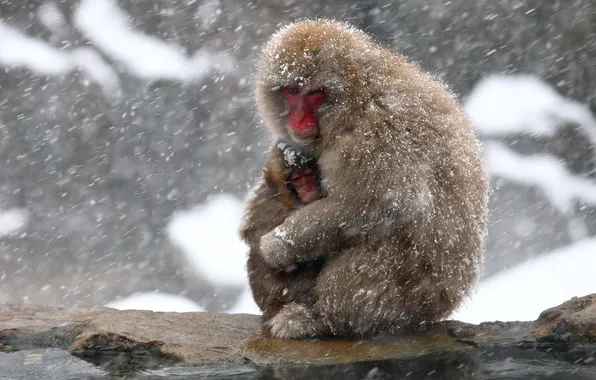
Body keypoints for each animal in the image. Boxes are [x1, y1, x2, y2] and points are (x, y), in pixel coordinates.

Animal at [249, 20, 486, 338]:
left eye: (314, 93)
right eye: (291, 90)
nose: (298, 120)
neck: (357, 100)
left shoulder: (380, 133)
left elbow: (387, 202)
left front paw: (278, 245)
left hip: (410, 295)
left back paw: (321, 319)